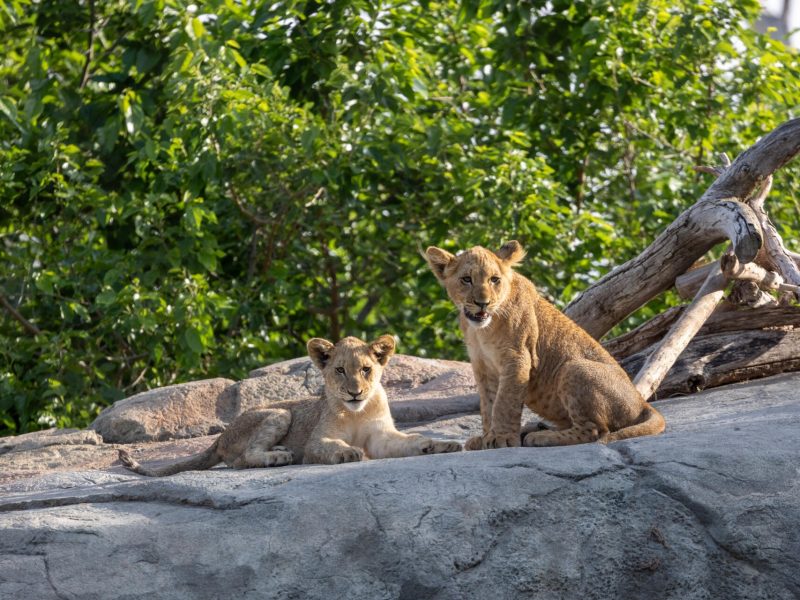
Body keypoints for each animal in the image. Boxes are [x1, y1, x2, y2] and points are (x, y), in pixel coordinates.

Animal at [118, 335, 462, 476]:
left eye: (366, 369)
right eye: (340, 370)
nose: (354, 393)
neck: (357, 412)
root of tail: (219, 438)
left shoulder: (380, 437)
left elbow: (411, 441)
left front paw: (441, 445)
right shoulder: (316, 441)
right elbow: (331, 446)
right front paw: (348, 452)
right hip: (279, 412)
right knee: (244, 458)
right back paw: (279, 456)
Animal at [425, 241, 665, 449]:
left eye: (494, 280)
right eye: (466, 279)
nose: (482, 303)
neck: (482, 329)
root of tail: (642, 402)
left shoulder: (519, 357)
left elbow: (504, 402)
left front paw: (502, 438)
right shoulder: (482, 366)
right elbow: (488, 405)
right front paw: (486, 438)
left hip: (575, 368)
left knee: (595, 430)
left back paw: (540, 437)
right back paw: (535, 429)